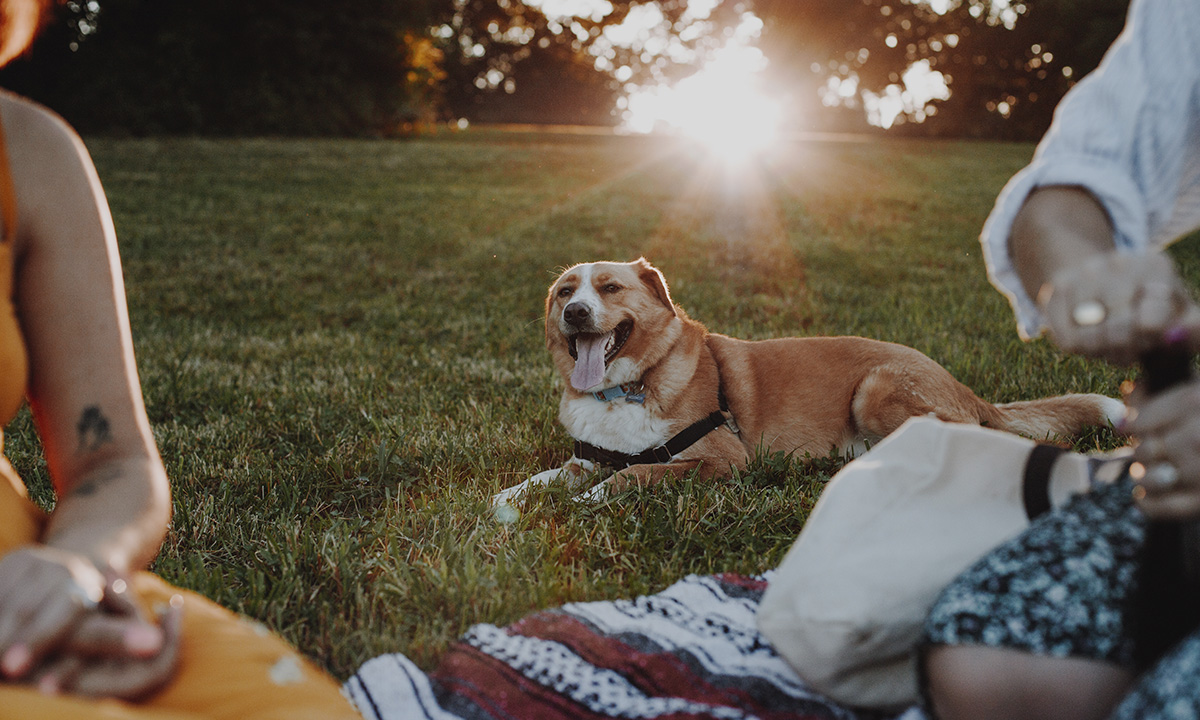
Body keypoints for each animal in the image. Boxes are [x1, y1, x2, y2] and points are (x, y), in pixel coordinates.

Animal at [489, 259, 1123, 506]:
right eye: (565, 292)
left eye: (610, 289)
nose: (575, 314)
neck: (626, 387)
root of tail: (966, 388)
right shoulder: (585, 456)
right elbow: (544, 478)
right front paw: (509, 501)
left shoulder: (720, 460)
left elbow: (638, 472)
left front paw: (590, 502)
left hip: (877, 389)